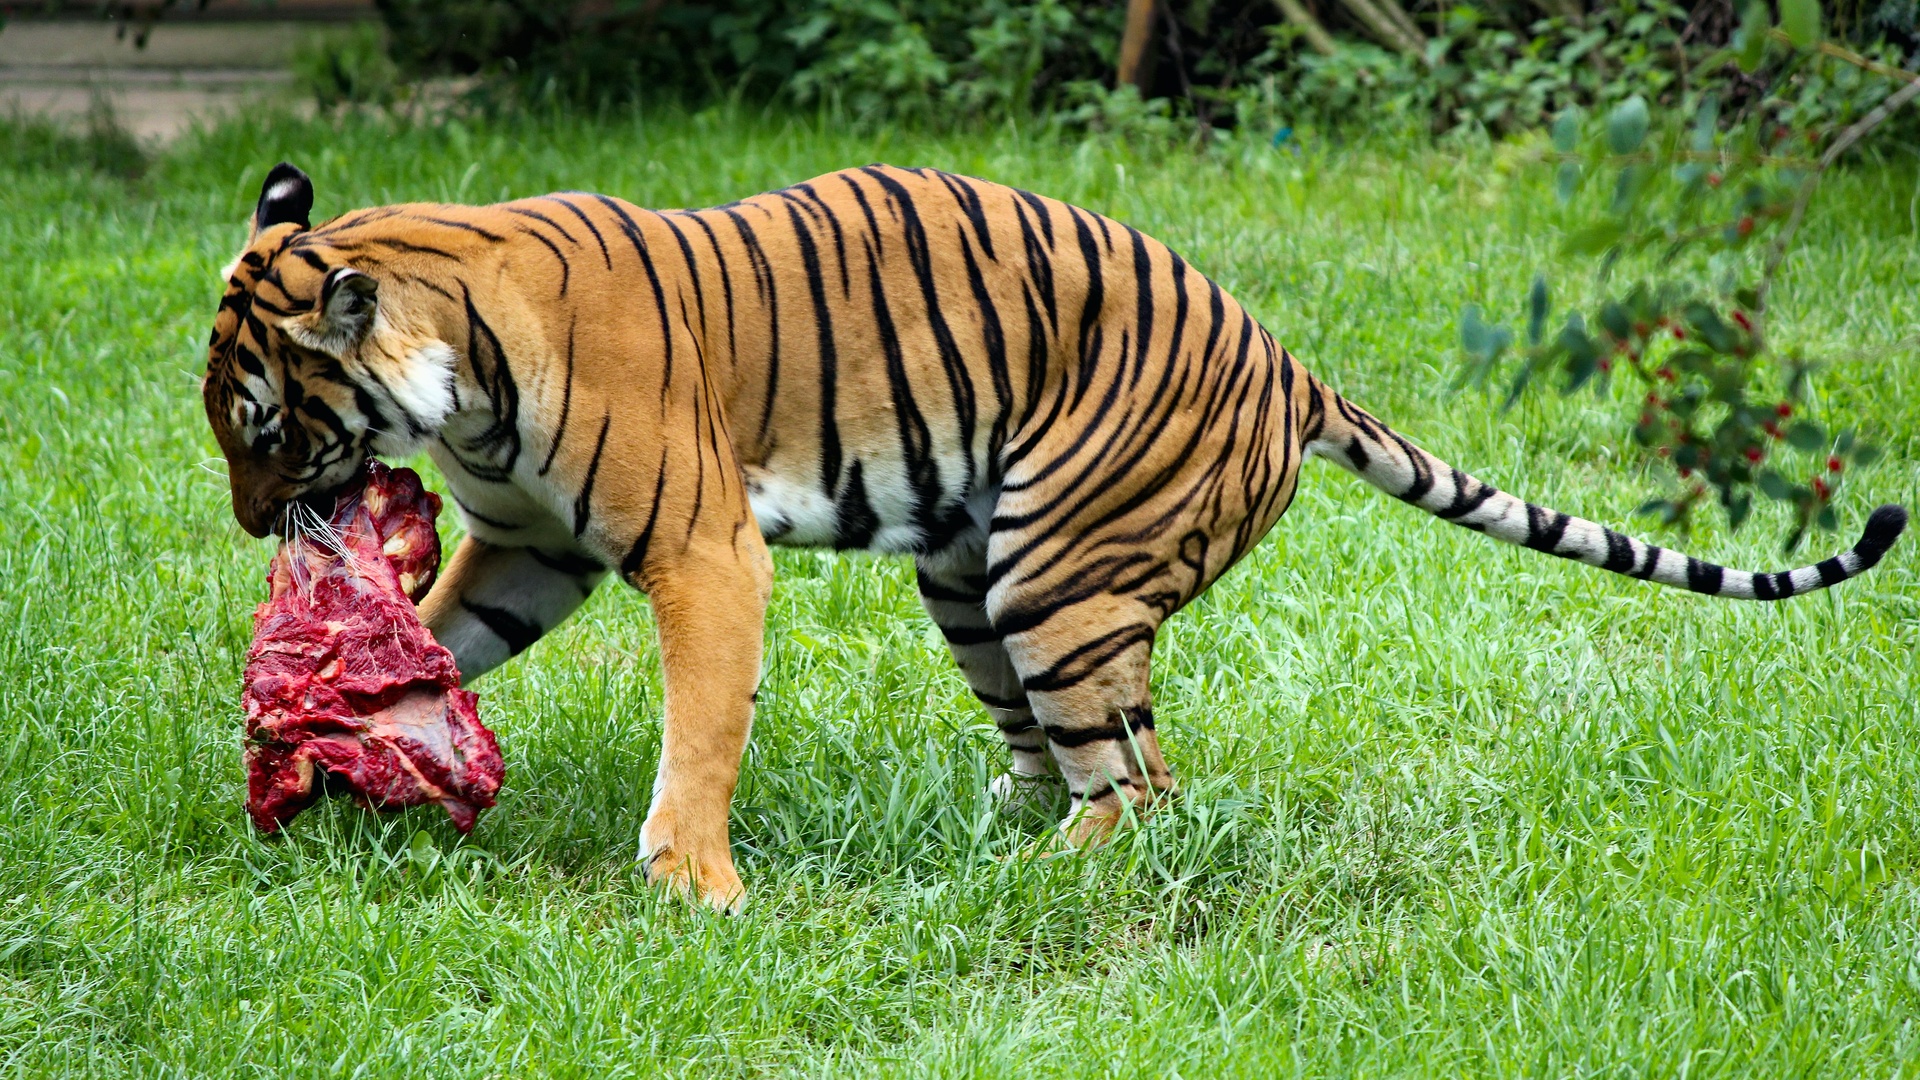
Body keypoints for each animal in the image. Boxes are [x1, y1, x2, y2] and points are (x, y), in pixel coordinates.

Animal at [206, 157, 1904, 899]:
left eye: (262, 426)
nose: (249, 528)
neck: (457, 371)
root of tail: (1289, 361)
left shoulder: (703, 553)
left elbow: (700, 728)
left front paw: (693, 882)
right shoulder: (533, 548)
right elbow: (445, 649)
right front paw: (326, 734)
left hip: (1057, 572)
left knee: (1142, 788)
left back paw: (1023, 874)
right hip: (969, 574)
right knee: (1064, 755)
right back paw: (979, 832)